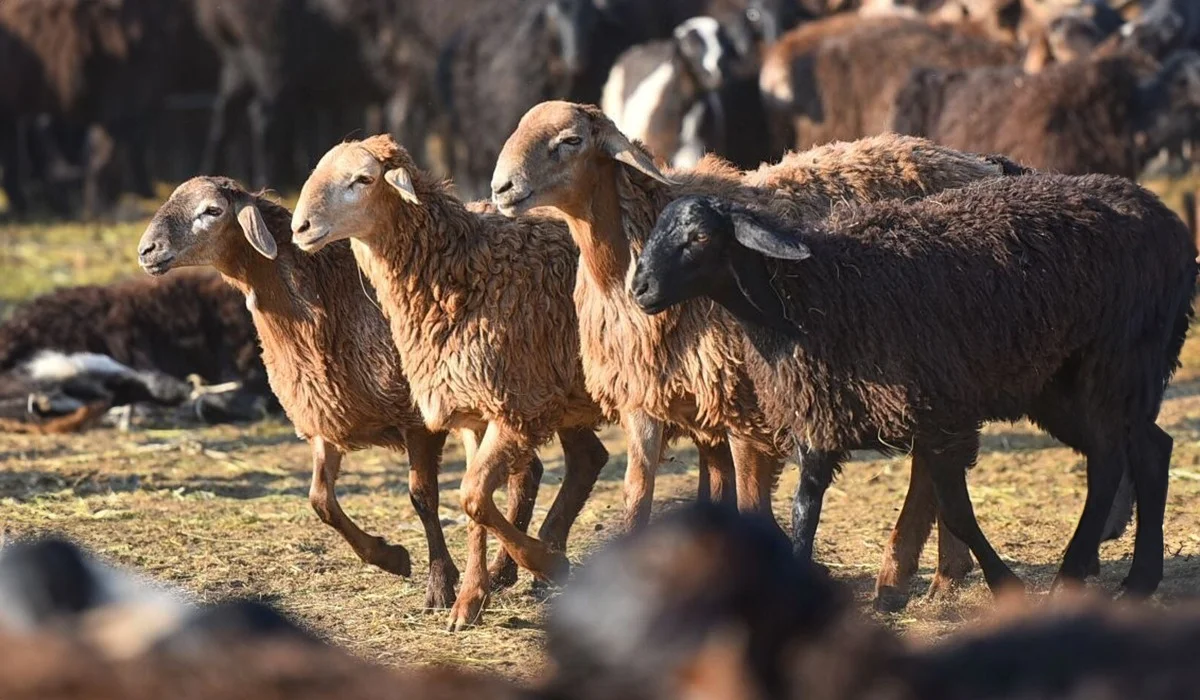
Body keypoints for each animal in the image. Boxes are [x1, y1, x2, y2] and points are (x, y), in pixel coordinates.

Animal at [487, 98, 1051, 607]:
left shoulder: (746, 404)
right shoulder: (645, 399)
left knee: (932, 463)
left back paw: (903, 575)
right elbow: (635, 501)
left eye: (570, 140)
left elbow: (751, 503)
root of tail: (976, 162)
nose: (500, 189)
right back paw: (942, 574)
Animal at [633, 172, 1195, 600]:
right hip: (1062, 385)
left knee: (1109, 461)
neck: (811, 294)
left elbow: (958, 514)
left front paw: (1004, 583)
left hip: (1116, 360)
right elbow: (803, 510)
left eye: (700, 238)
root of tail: (1163, 215)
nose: (640, 288)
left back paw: (1073, 576)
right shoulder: (822, 417)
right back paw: (1139, 580)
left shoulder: (939, 417)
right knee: (1150, 449)